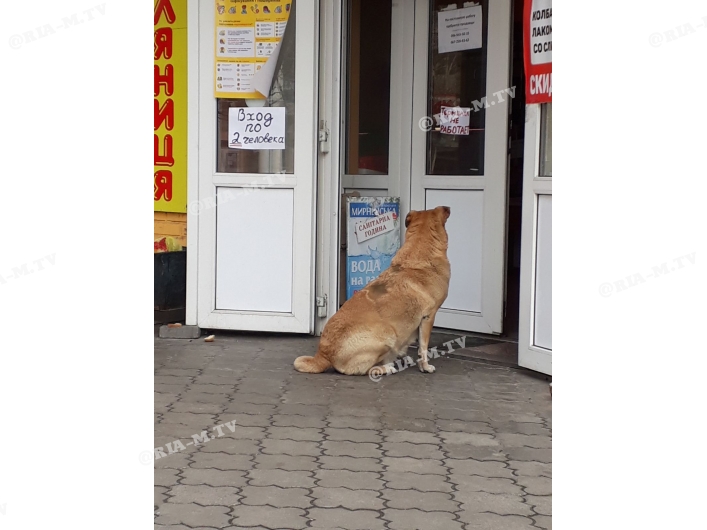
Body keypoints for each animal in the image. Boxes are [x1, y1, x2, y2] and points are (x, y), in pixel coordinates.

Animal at [294, 204, 454, 374]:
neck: (418, 254)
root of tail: (323, 355)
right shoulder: (428, 317)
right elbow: (423, 348)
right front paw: (425, 366)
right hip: (388, 334)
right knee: (365, 369)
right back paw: (387, 367)